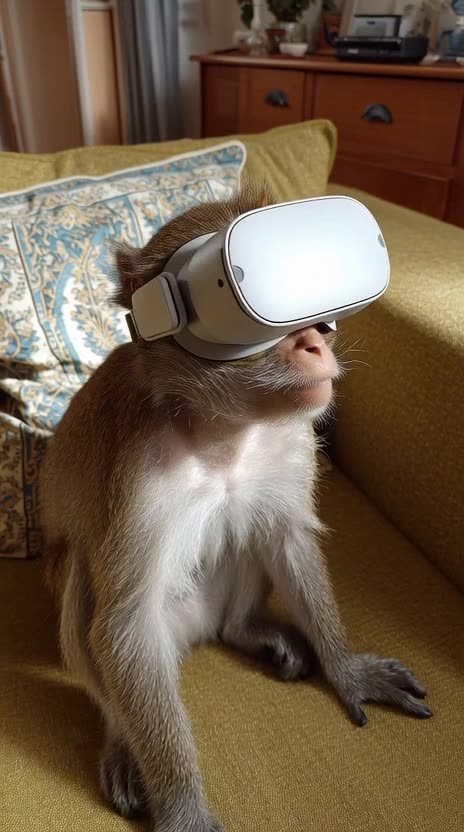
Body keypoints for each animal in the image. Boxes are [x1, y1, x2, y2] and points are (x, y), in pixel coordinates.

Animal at [40, 183, 431, 832]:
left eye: (322, 314)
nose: (314, 340)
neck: (222, 433)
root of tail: (200, 633)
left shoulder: (294, 440)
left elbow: (288, 538)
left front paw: (346, 670)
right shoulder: (137, 475)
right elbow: (124, 618)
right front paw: (183, 809)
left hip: (215, 606)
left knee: (254, 534)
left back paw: (245, 631)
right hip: (162, 633)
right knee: (82, 582)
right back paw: (121, 738)